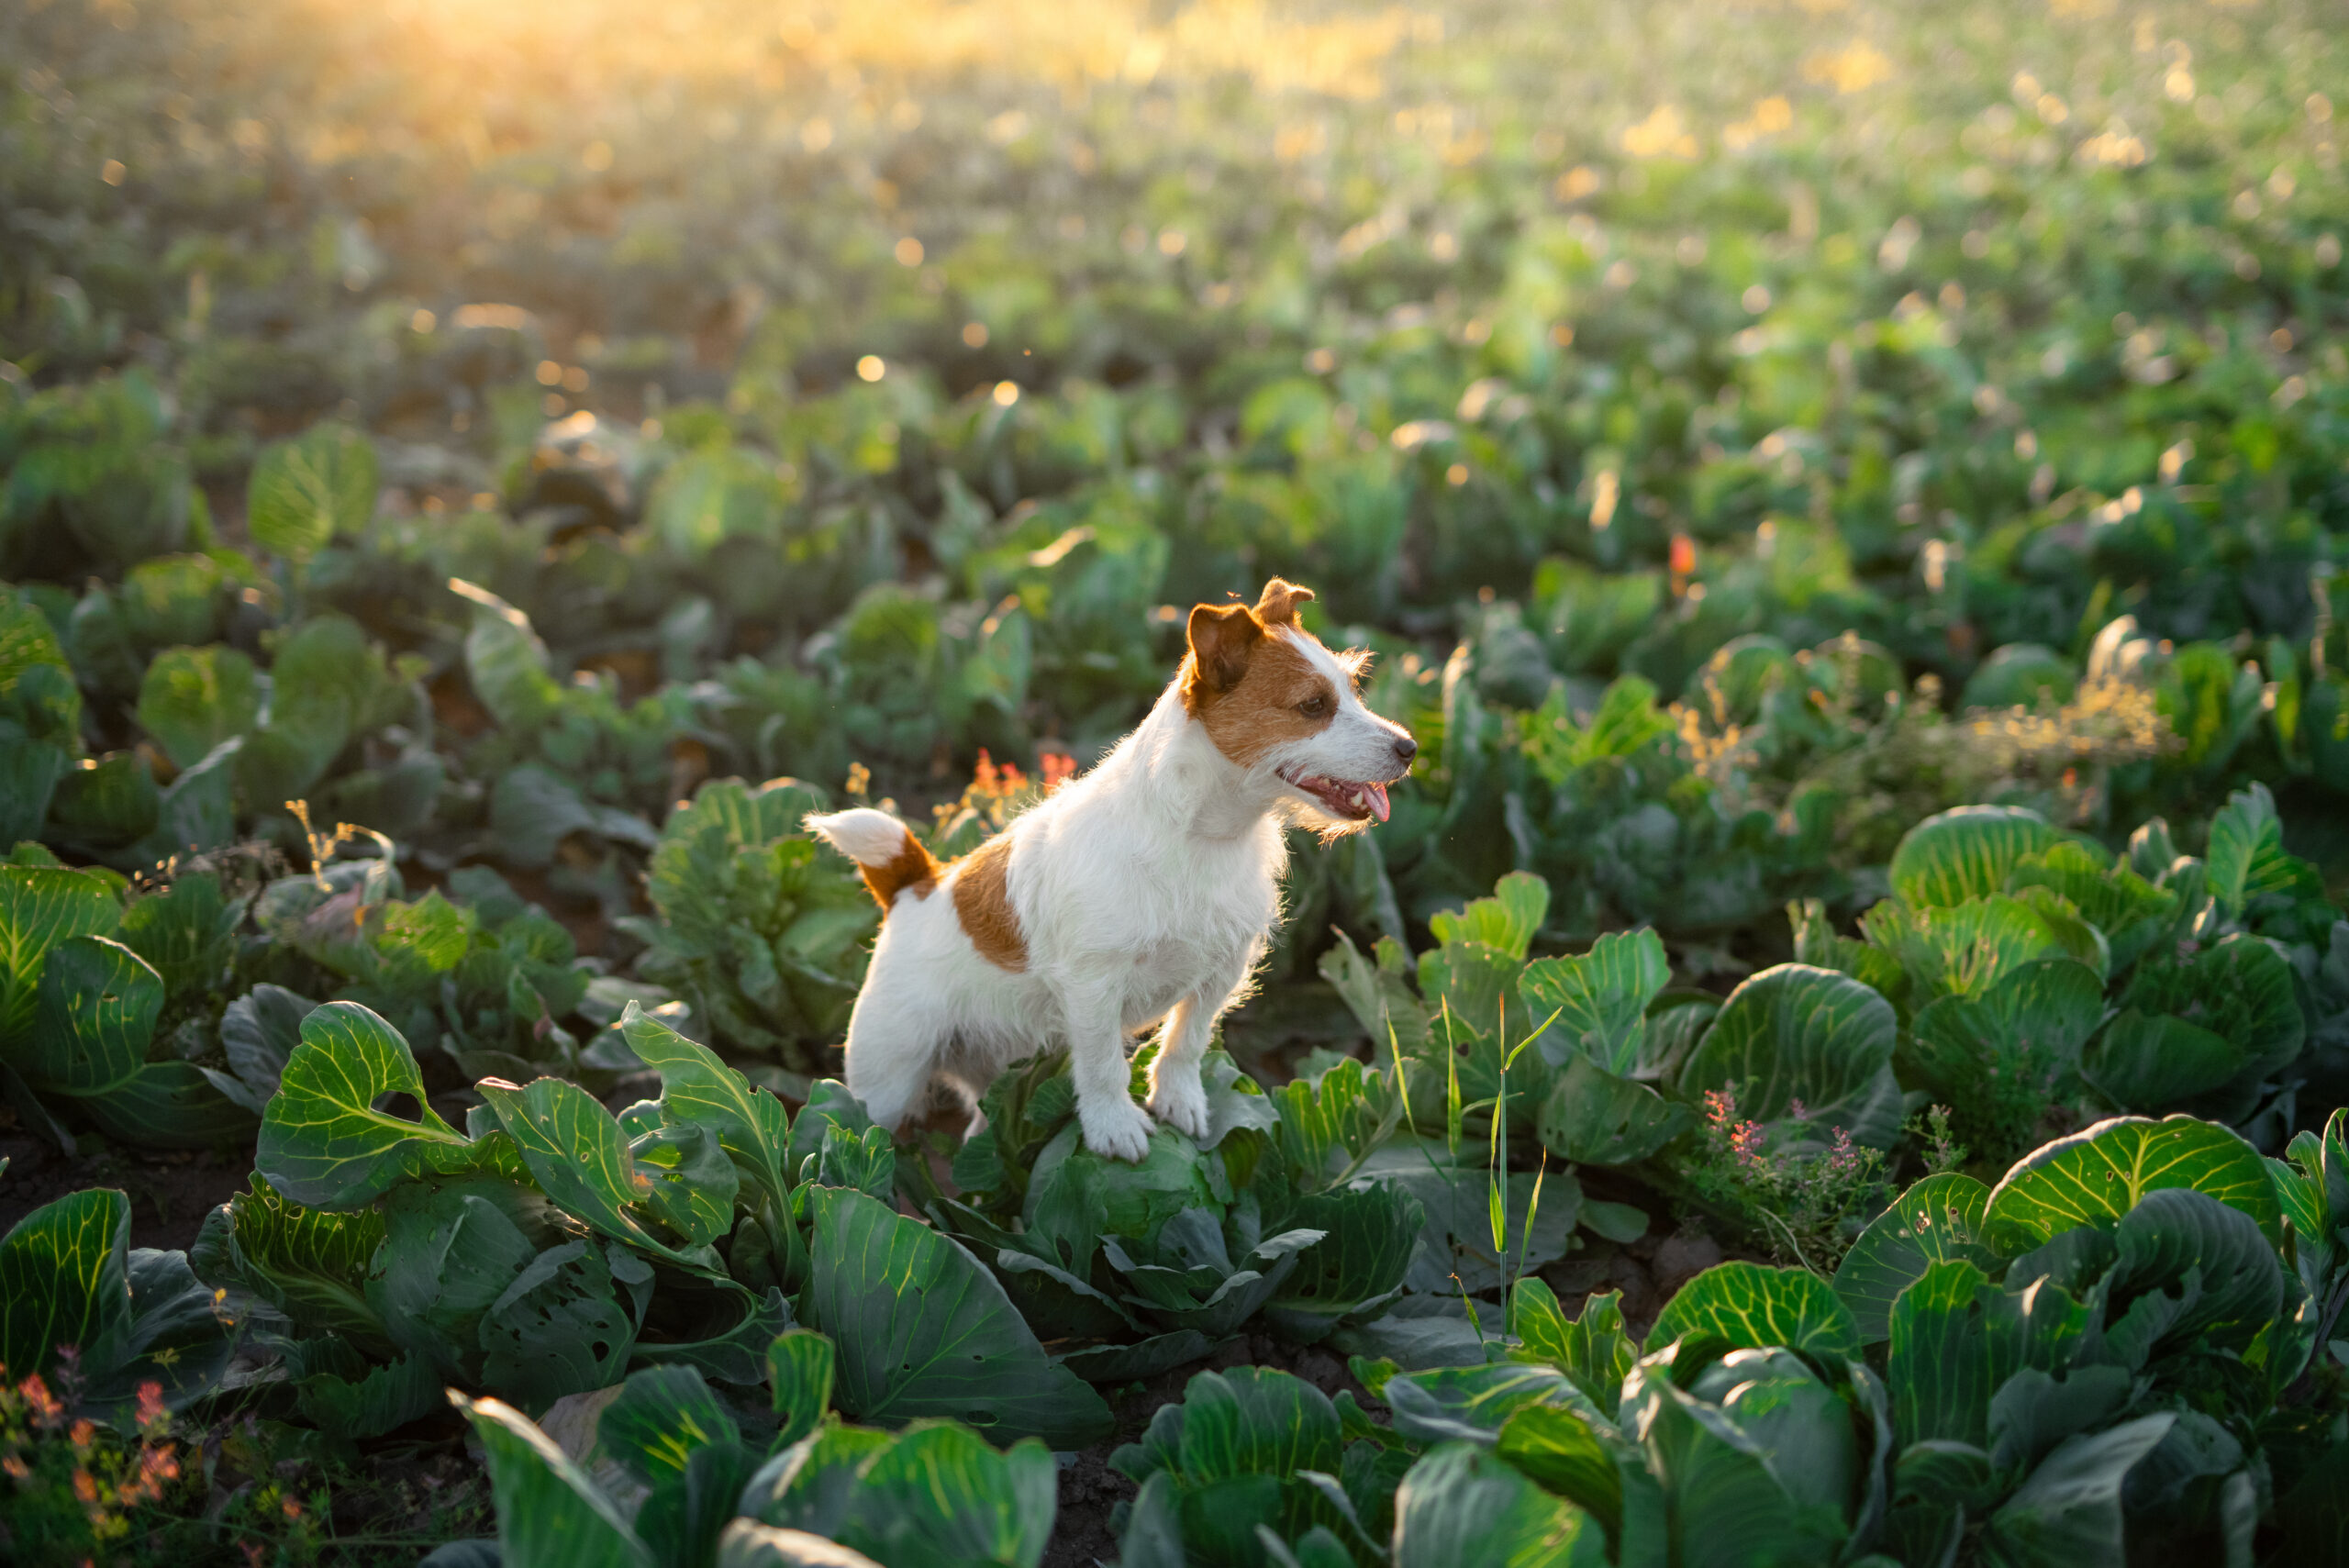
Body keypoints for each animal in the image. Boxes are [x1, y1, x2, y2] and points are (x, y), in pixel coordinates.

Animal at [812, 582, 1409, 1159]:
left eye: (1352, 690)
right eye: (1313, 705)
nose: (1410, 747)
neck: (1195, 835)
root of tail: (917, 884)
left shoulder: (1223, 969)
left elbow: (1188, 1040)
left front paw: (1178, 1099)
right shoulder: (1092, 987)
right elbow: (1102, 1065)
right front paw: (1113, 1126)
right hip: (887, 1080)